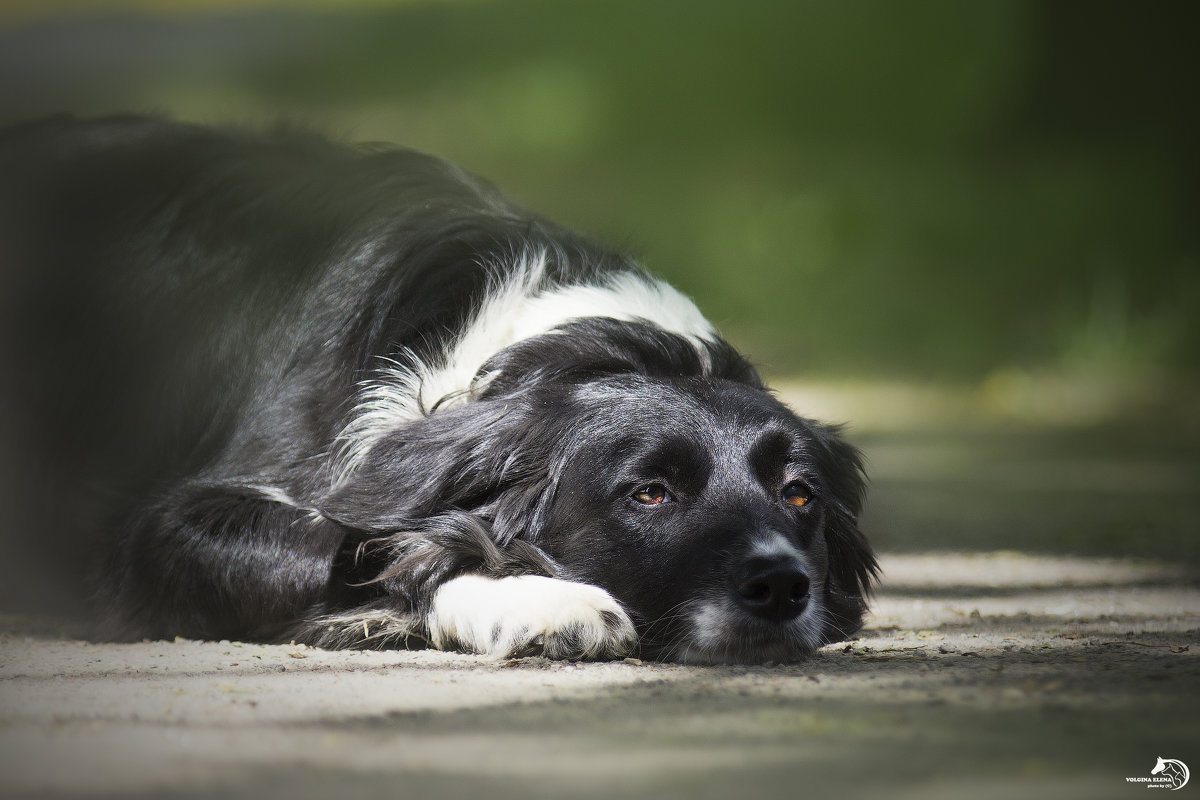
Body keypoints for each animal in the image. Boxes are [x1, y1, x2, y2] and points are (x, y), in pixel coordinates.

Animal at [0, 113, 883, 662]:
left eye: (800, 494)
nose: (781, 585)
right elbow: (378, 544)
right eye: (650, 493)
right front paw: (534, 599)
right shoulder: (160, 532)